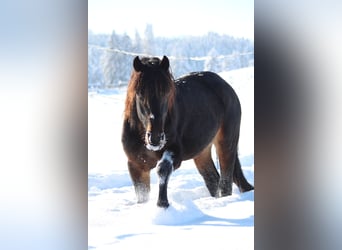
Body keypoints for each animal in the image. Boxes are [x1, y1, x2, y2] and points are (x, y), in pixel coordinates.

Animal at [121, 56, 252, 207]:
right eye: (140, 93)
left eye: (166, 93)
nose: (155, 138)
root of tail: (226, 86)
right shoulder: (136, 166)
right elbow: (142, 194)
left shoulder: (175, 153)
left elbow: (163, 168)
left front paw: (163, 203)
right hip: (202, 152)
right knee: (212, 179)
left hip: (226, 143)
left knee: (225, 182)